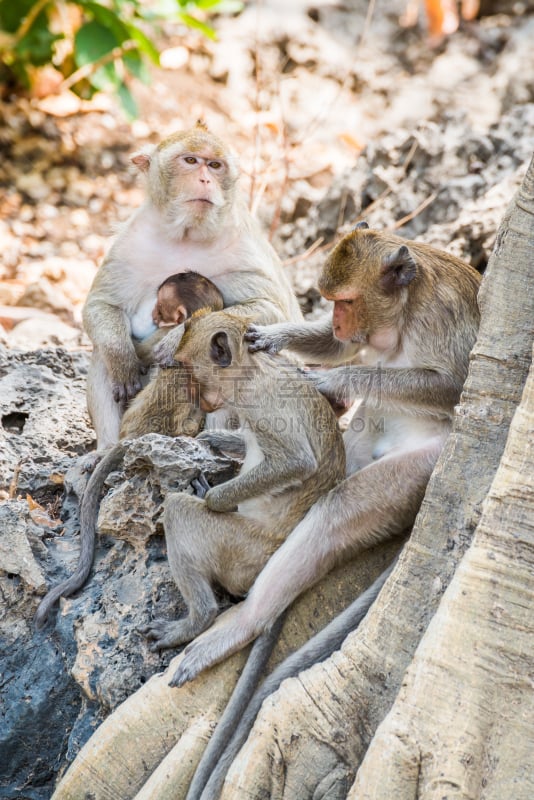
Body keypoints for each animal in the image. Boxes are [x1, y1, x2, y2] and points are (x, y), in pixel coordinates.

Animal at [83, 119, 302, 456]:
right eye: (190, 160)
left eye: (215, 165)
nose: (204, 179)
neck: (187, 234)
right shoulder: (130, 242)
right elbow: (101, 305)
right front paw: (122, 360)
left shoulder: (243, 247)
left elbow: (270, 310)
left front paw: (174, 337)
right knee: (101, 351)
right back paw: (107, 448)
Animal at [140, 310, 346, 664]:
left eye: (189, 369)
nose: (192, 395)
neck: (251, 369)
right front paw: (211, 439)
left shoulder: (262, 402)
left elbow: (296, 462)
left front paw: (214, 499)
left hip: (245, 551)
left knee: (179, 510)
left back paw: (197, 620)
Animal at [171, 223, 482, 688]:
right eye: (332, 302)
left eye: (346, 301)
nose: (336, 319)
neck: (407, 308)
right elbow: (340, 347)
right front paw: (274, 337)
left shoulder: (438, 314)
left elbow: (455, 385)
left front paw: (330, 381)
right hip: (370, 429)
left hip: (428, 465)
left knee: (337, 509)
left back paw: (241, 623)